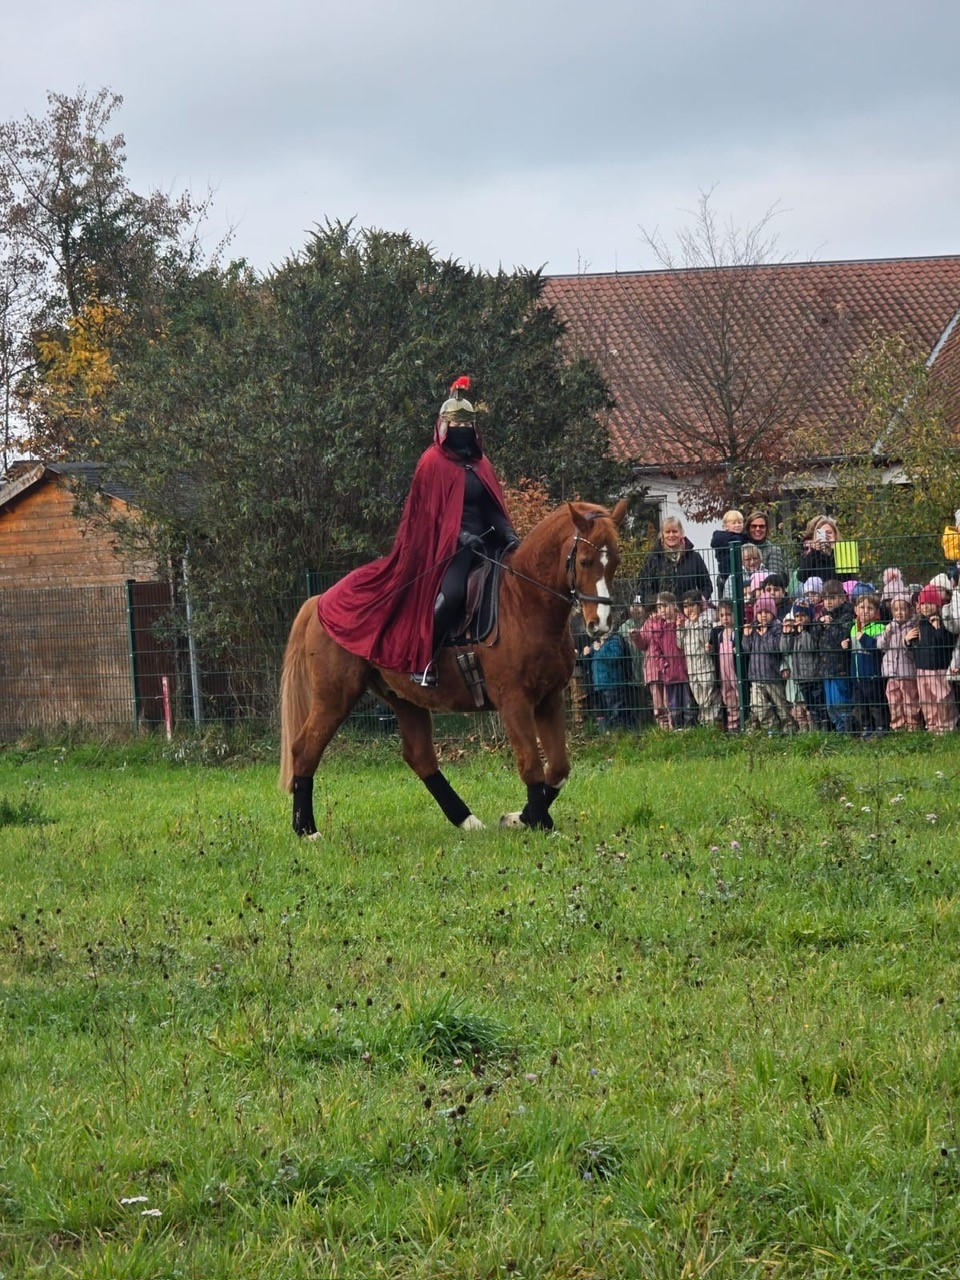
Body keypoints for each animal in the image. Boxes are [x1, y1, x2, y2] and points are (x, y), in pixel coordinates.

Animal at [279, 499, 628, 836]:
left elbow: (558, 769)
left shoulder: (549, 700)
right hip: (335, 697)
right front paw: (539, 823)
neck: (523, 603)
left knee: (420, 757)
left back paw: (467, 821)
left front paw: (521, 818)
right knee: (305, 750)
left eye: (614, 561)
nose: (601, 624)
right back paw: (307, 830)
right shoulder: (514, 702)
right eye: (584, 561)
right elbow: (531, 764)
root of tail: (321, 599)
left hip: (403, 699)